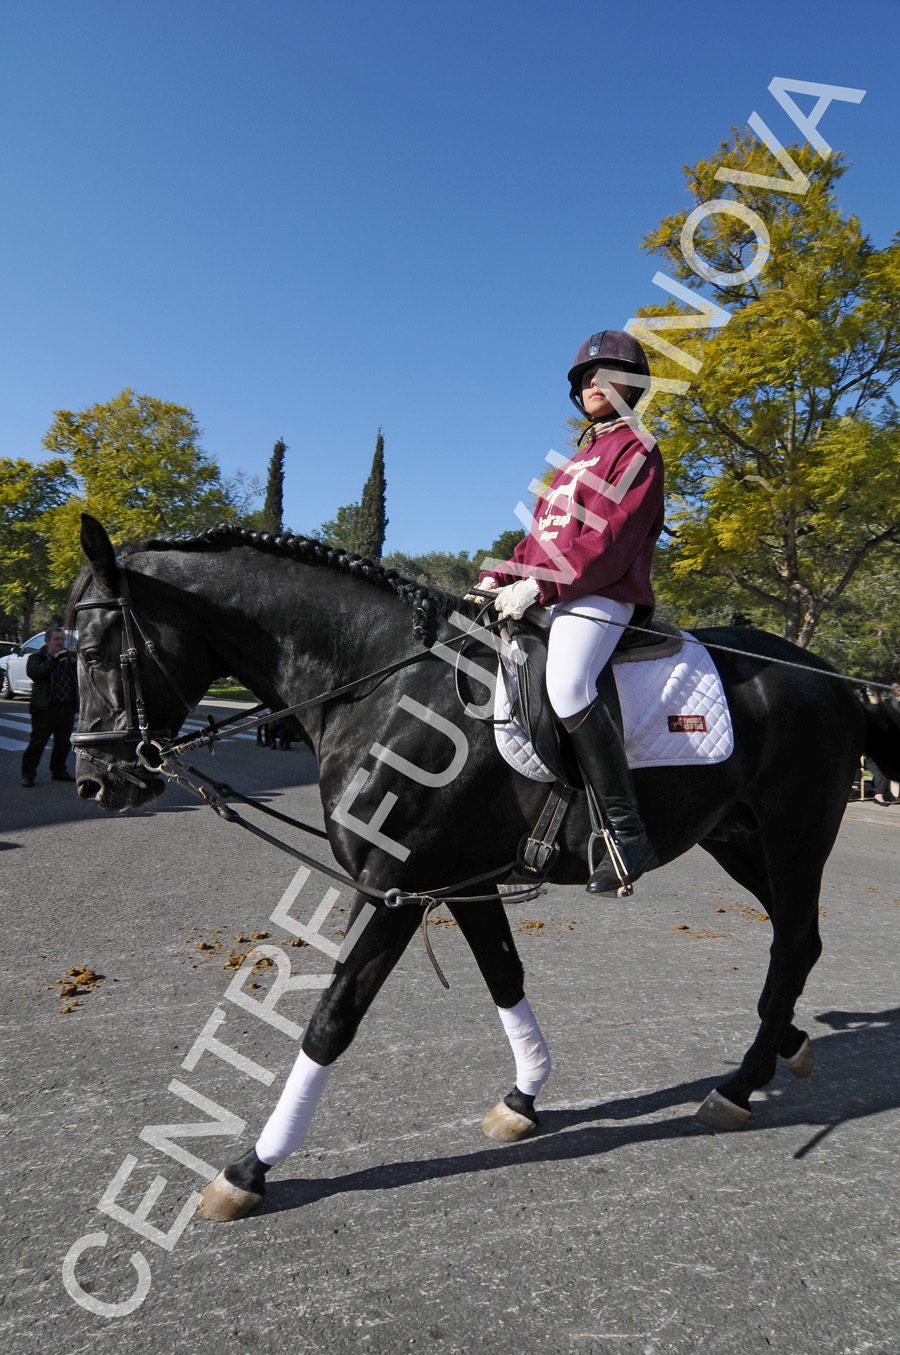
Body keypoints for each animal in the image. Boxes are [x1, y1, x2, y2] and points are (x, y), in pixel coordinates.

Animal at [72, 514, 900, 1219]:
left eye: (91, 649)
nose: (96, 782)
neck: (383, 684)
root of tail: (833, 676)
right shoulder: (457, 882)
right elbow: (504, 974)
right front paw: (524, 1097)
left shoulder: (395, 890)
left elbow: (332, 1019)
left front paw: (251, 1168)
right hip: (737, 837)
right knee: (796, 939)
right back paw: (782, 1045)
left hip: (794, 833)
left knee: (795, 939)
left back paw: (738, 1084)